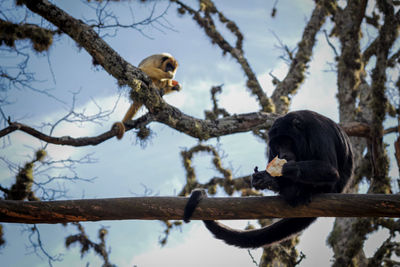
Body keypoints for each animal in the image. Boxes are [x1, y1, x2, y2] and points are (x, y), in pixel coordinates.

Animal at [183, 110, 352, 249]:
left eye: (286, 142)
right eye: (277, 145)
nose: (282, 154)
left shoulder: (318, 132)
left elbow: (330, 170)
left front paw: (285, 169)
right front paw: (267, 178)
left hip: (331, 188)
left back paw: (301, 192)